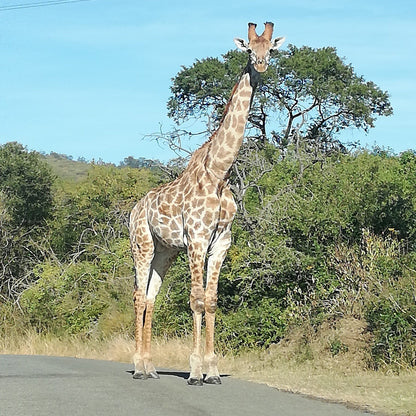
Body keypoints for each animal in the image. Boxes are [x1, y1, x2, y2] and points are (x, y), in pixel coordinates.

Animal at [130, 22, 286, 386]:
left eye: (271, 49)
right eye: (249, 50)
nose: (260, 66)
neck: (219, 172)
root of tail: (133, 210)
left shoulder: (221, 243)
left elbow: (213, 301)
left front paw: (213, 370)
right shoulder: (197, 241)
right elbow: (197, 301)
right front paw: (195, 371)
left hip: (165, 251)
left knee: (151, 296)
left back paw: (150, 366)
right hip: (142, 245)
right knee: (139, 296)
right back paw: (138, 367)